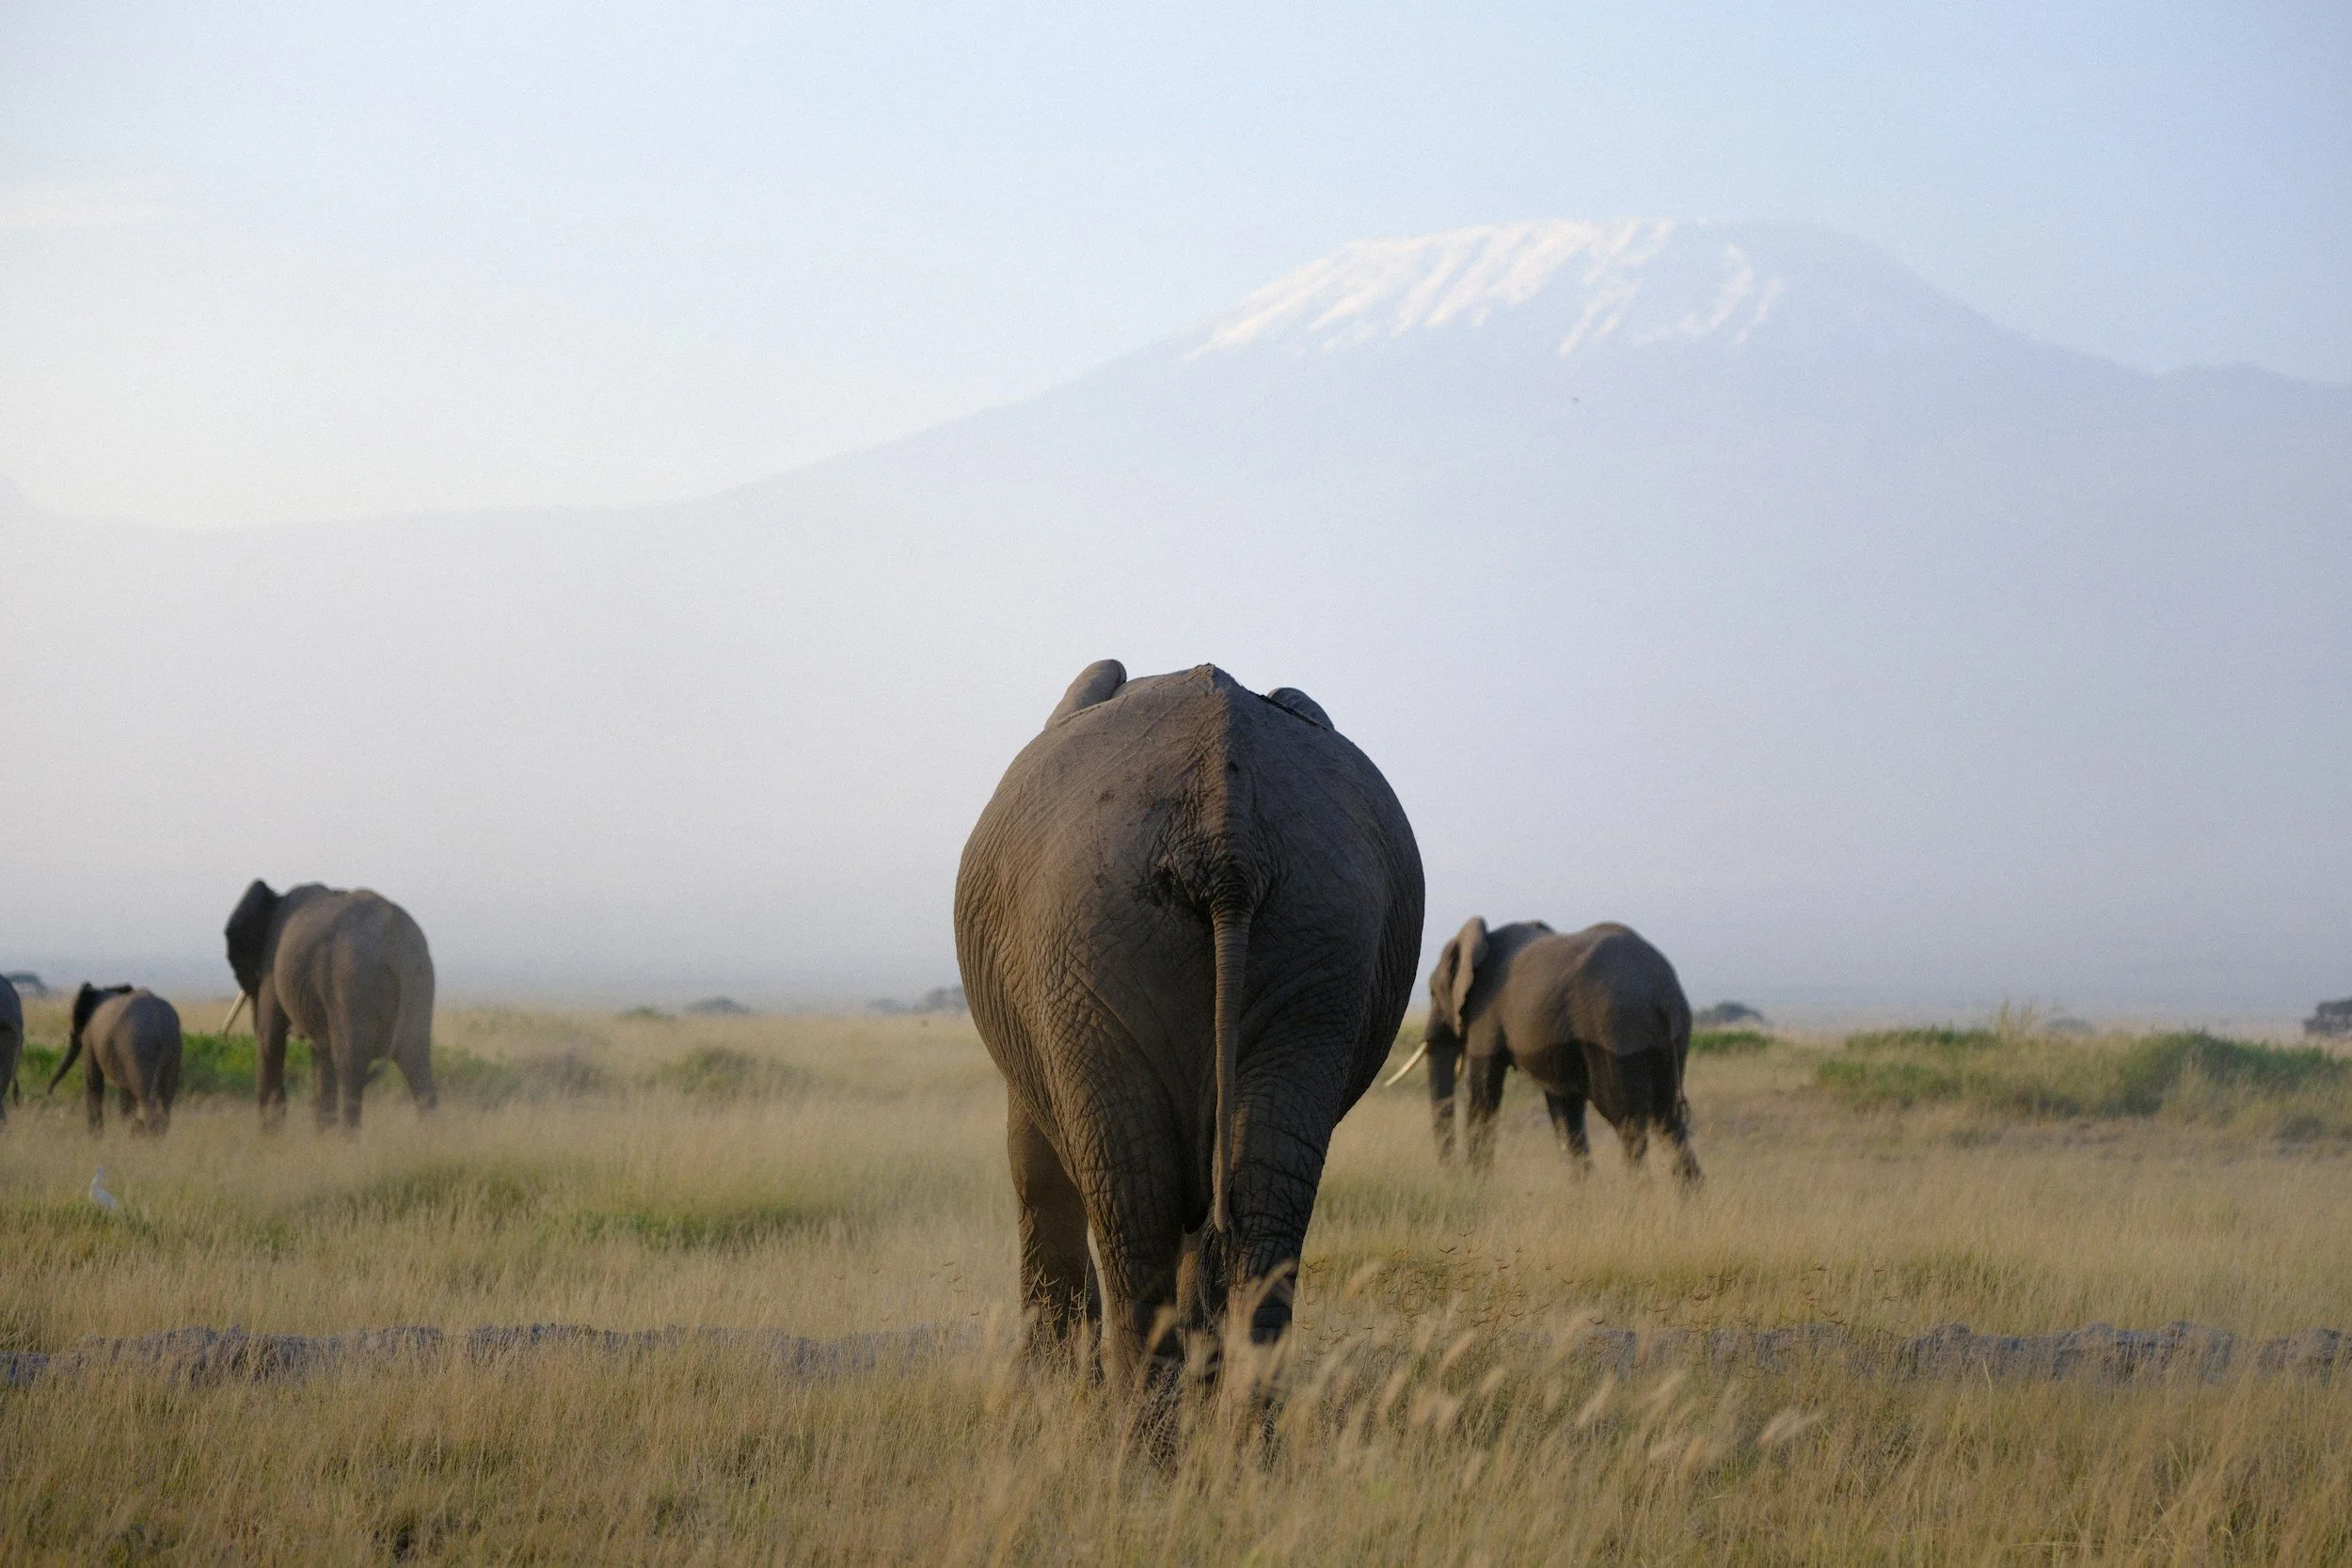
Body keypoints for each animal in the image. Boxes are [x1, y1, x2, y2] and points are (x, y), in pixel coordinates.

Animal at [47, 983, 183, 1134]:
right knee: (165, 1098)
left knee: (145, 1096)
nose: (49, 1092)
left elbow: (93, 1082)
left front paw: (95, 1137)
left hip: (138, 1048)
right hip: (172, 1047)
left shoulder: (89, 1038)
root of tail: (160, 1026)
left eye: (75, 1026)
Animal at [224, 880, 436, 1130]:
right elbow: (321, 1057)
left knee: (350, 1067)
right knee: (416, 1062)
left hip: (350, 980)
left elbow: (269, 1039)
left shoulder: (271, 964)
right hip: (420, 978)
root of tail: (398, 947)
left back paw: (346, 1138)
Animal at [955, 660, 1424, 1397]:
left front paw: (1047, 1390)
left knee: (1136, 1207)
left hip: (1084, 939)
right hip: (1325, 934)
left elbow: (1034, 1167)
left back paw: (1137, 1427)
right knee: (1262, 1203)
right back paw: (1231, 1425)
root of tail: (1226, 841)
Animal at [1397, 919, 1700, 1183]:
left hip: (1614, 1027)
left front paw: (1476, 1186)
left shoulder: (1486, 1010)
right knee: (1668, 1119)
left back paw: (1639, 1195)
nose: (1451, 1176)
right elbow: (1564, 1107)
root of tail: (1661, 990)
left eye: (1433, 994)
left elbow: (1483, 1093)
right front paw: (1584, 1193)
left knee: (1627, 1118)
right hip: (1671, 1035)